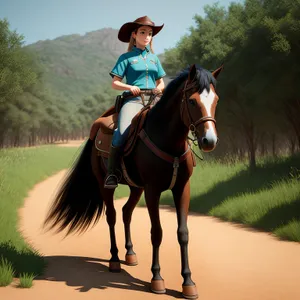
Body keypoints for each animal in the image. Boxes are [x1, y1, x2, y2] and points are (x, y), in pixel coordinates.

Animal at [44, 63, 223, 300]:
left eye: (216, 100)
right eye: (192, 101)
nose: (209, 141)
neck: (167, 140)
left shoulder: (182, 188)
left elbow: (183, 233)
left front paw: (188, 283)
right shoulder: (153, 190)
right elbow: (157, 232)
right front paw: (157, 280)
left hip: (136, 188)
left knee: (126, 212)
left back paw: (130, 254)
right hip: (106, 184)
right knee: (111, 216)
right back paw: (114, 260)